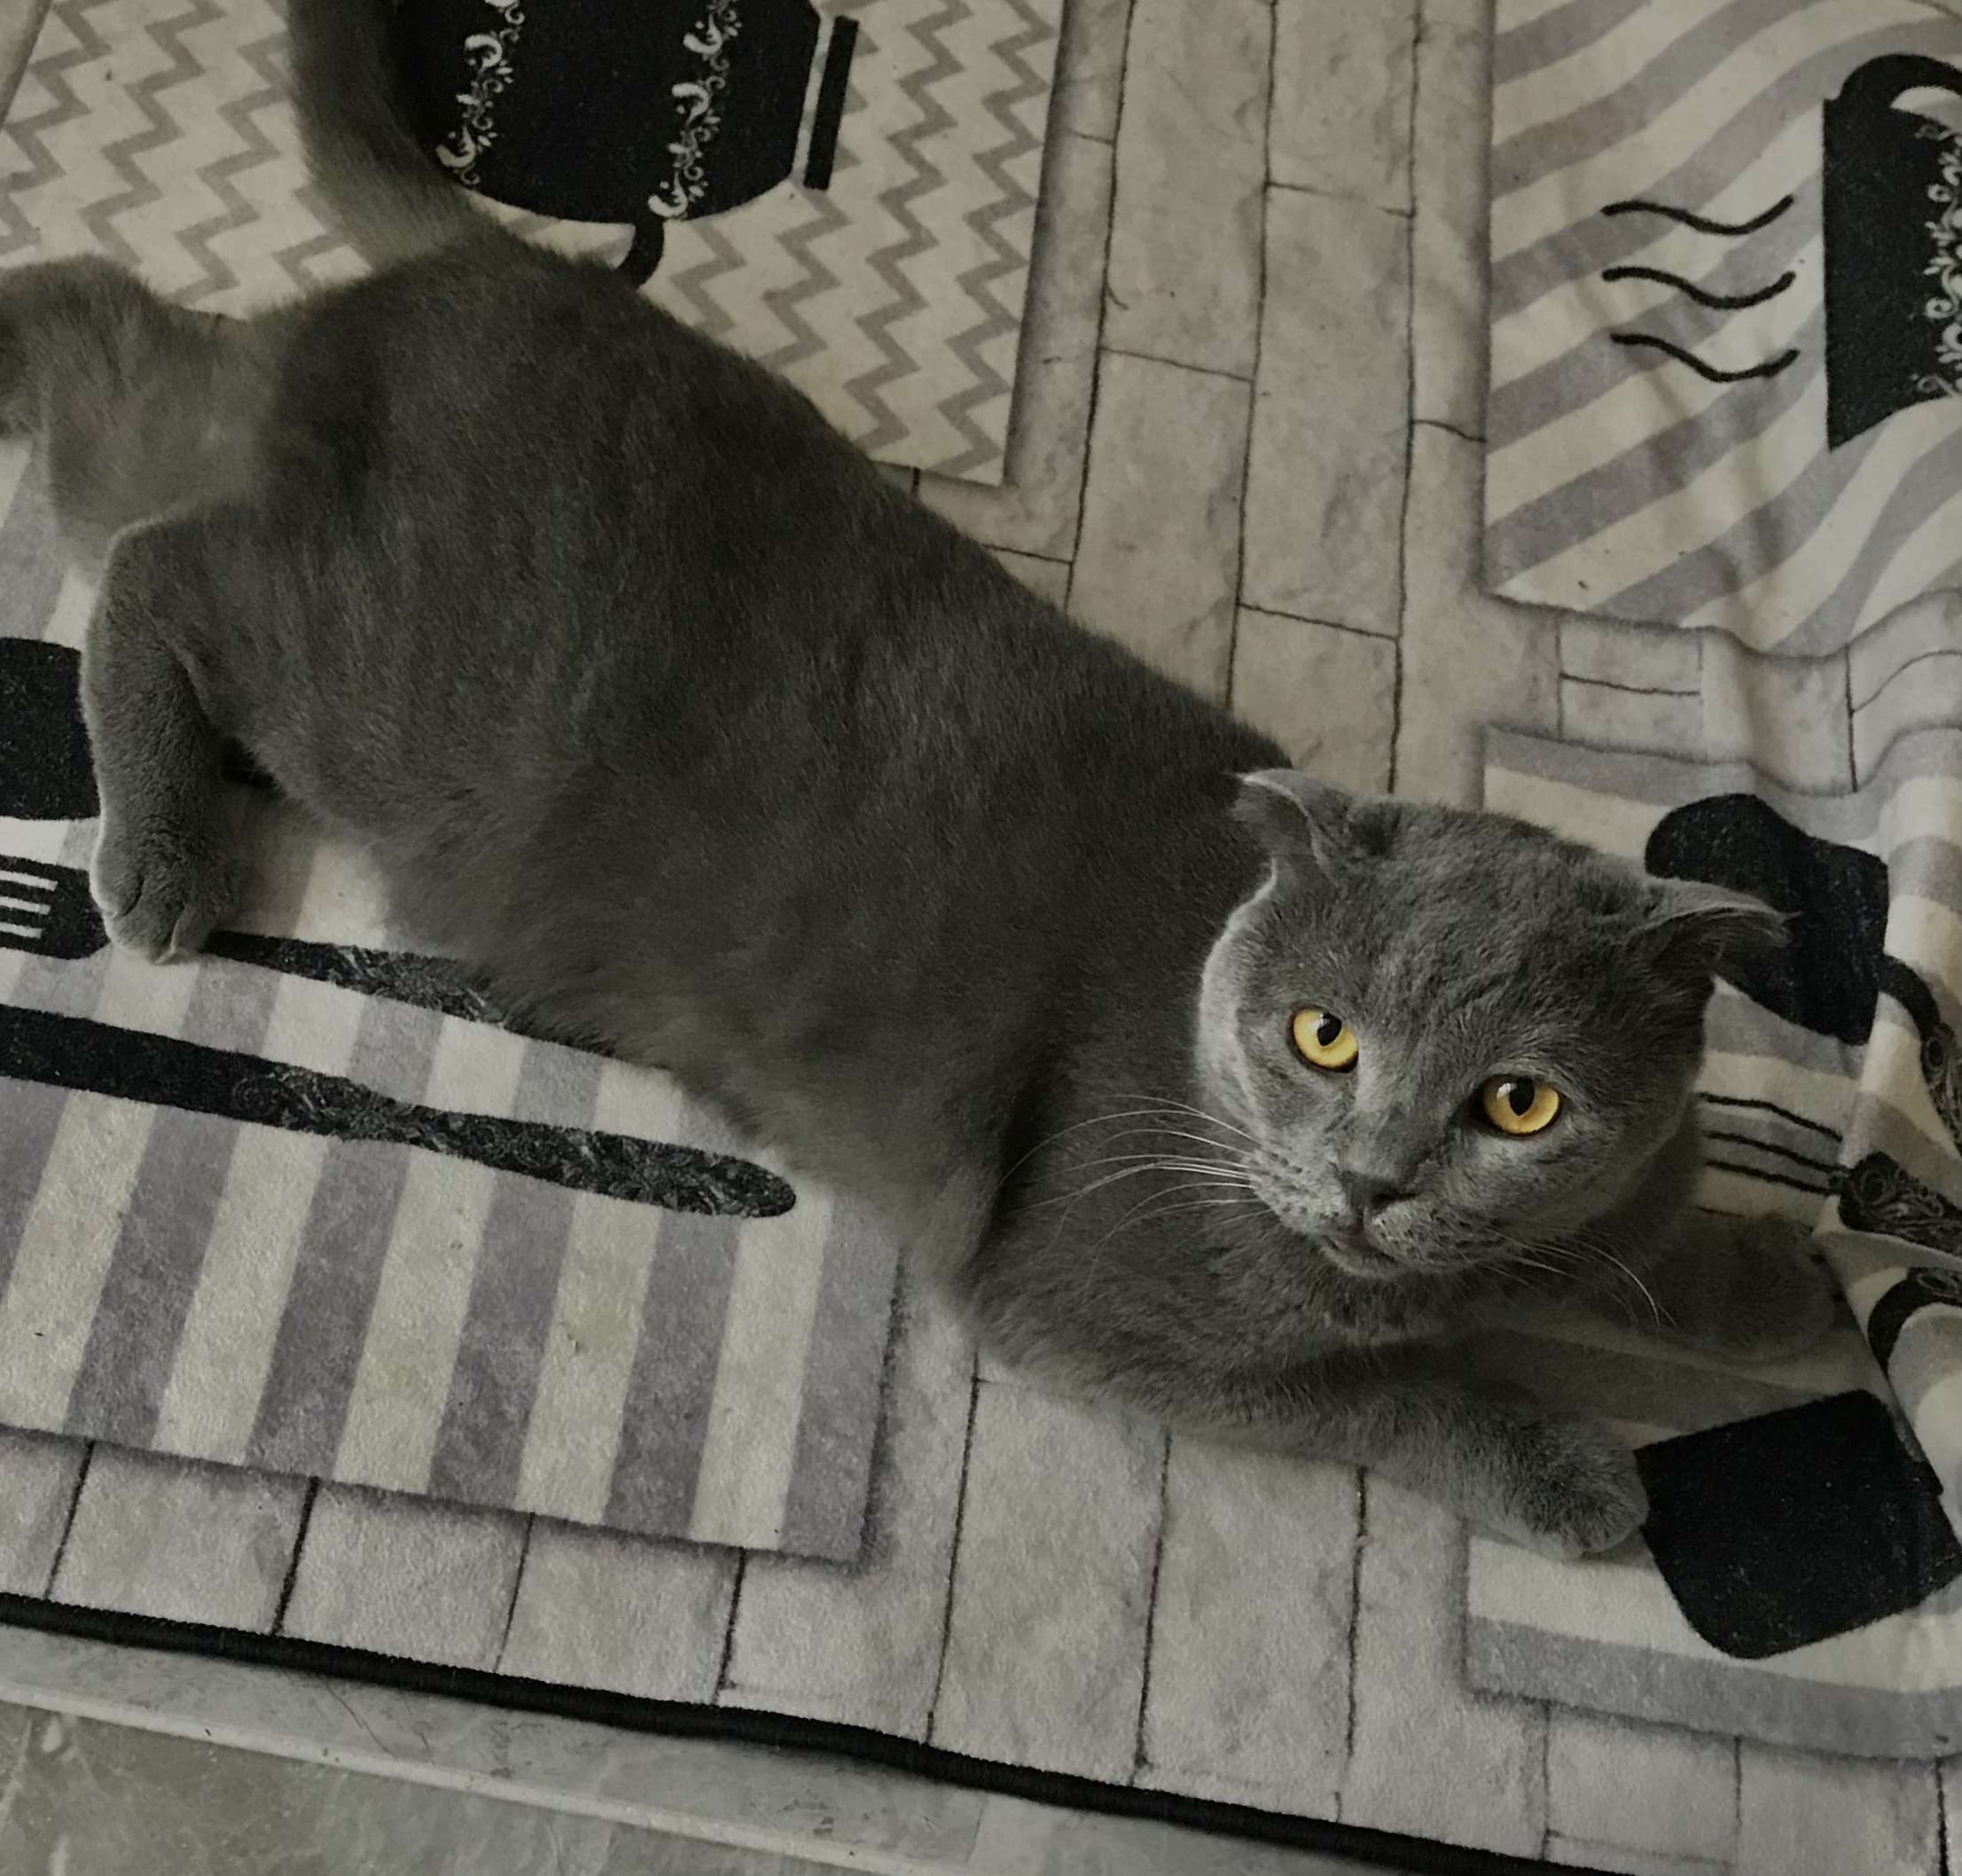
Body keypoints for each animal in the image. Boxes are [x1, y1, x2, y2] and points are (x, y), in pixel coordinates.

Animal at [0, 0, 1836, 1558]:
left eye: (1517, 1104)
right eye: (1323, 1039)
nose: (1376, 1174)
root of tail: (509, 257)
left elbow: (1649, 1233)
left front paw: (1774, 1277)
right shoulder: (1086, 1302)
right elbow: (1380, 1396)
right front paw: (1565, 1464)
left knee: (127, 357)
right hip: (393, 692)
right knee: (156, 559)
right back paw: (156, 863)